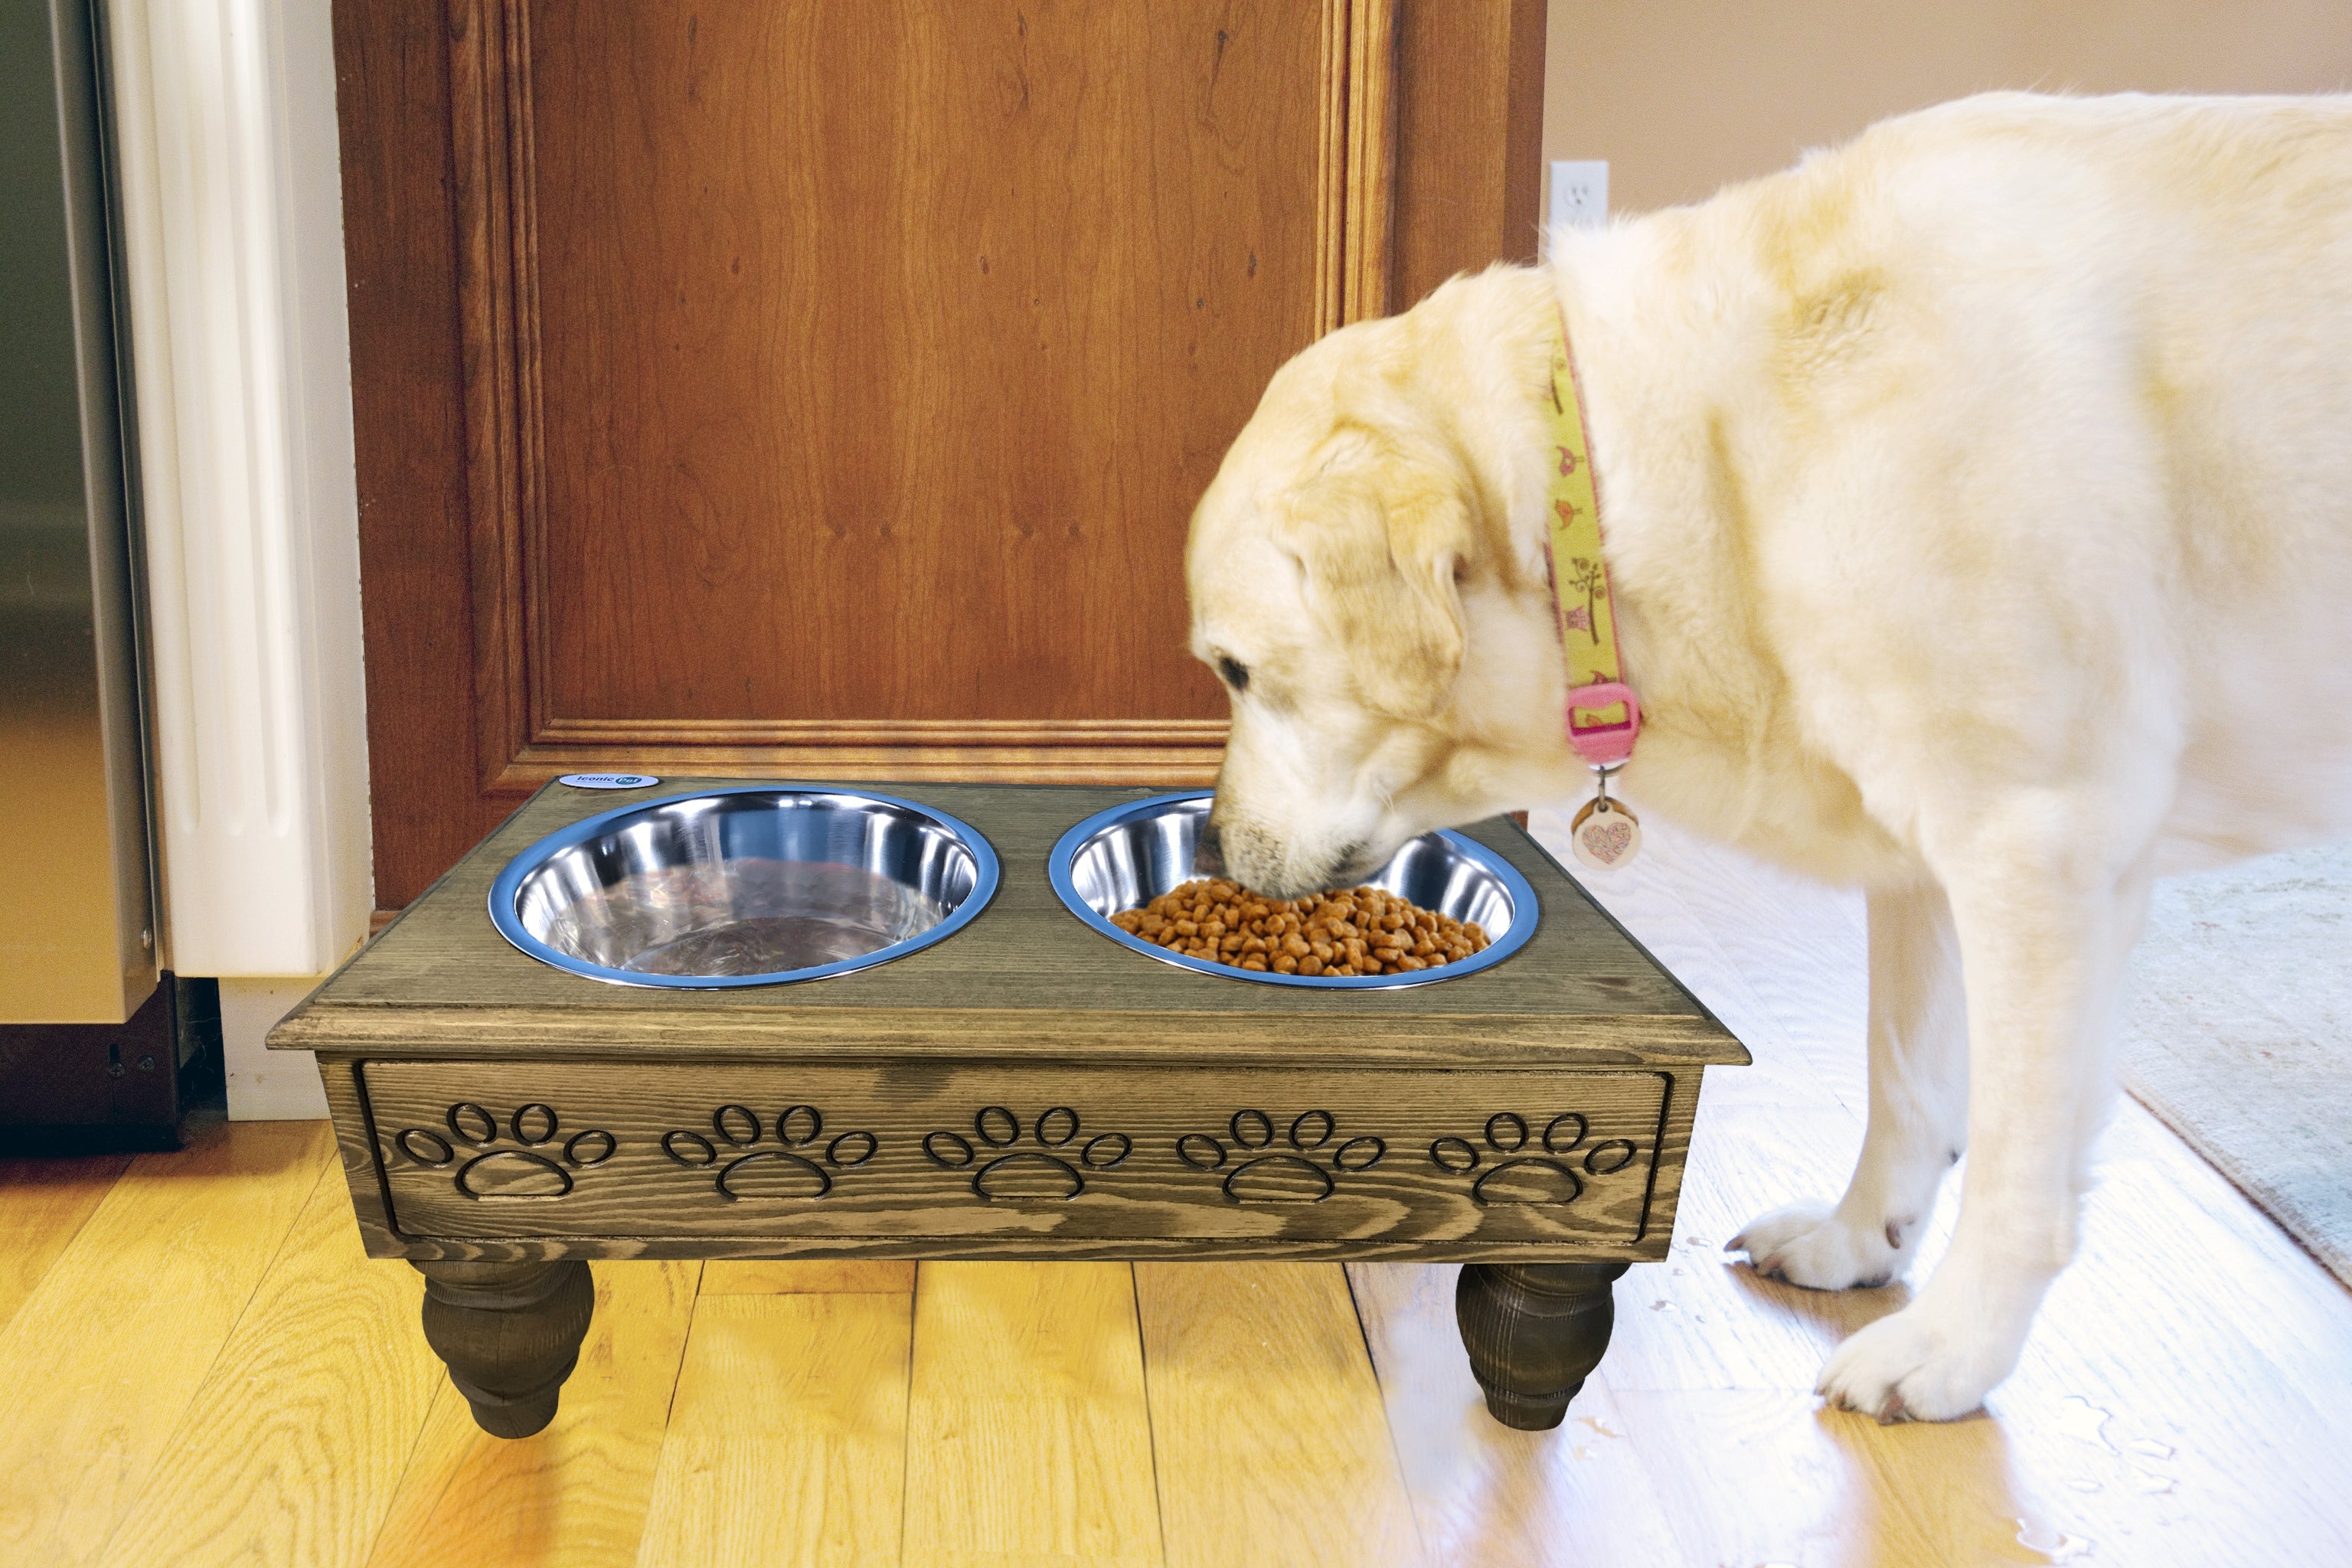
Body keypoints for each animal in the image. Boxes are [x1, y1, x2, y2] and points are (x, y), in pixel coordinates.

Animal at [1185, 95, 2352, 1419]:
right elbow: (1903, 1077)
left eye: (1235, 670)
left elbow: (2017, 1160)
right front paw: (1860, 1243)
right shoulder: (1923, 854)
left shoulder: (2034, 842)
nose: (1212, 840)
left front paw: (1951, 1348)